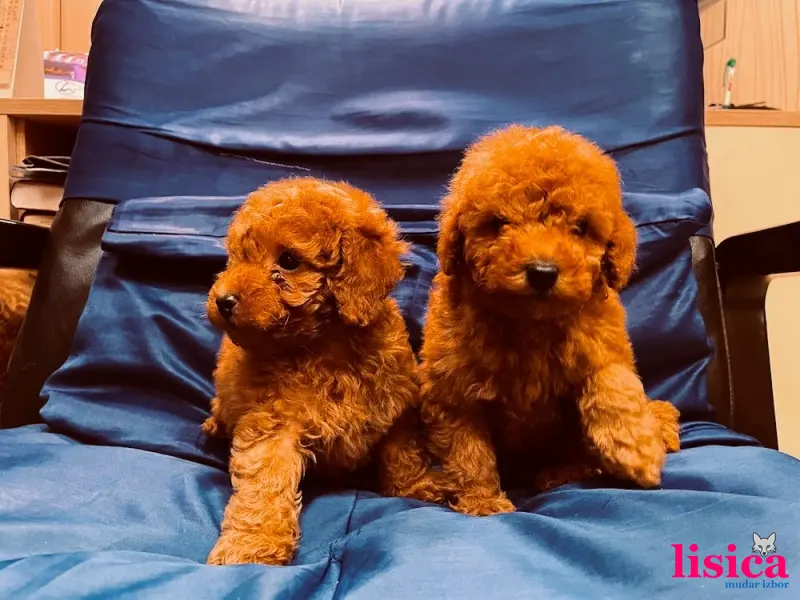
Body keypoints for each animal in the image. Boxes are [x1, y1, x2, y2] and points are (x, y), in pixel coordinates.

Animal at [203, 177, 432, 565]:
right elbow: (265, 486)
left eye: (289, 261)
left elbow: (403, 453)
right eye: (237, 257)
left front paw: (415, 487)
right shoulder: (273, 427)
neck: (325, 345)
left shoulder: (397, 406)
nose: (224, 300)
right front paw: (251, 545)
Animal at [417, 125, 681, 516]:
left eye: (581, 227)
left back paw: (562, 472)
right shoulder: (452, 391)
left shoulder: (603, 341)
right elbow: (468, 451)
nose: (542, 272)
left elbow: (614, 384)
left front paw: (636, 449)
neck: (531, 322)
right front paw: (483, 501)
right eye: (497, 223)